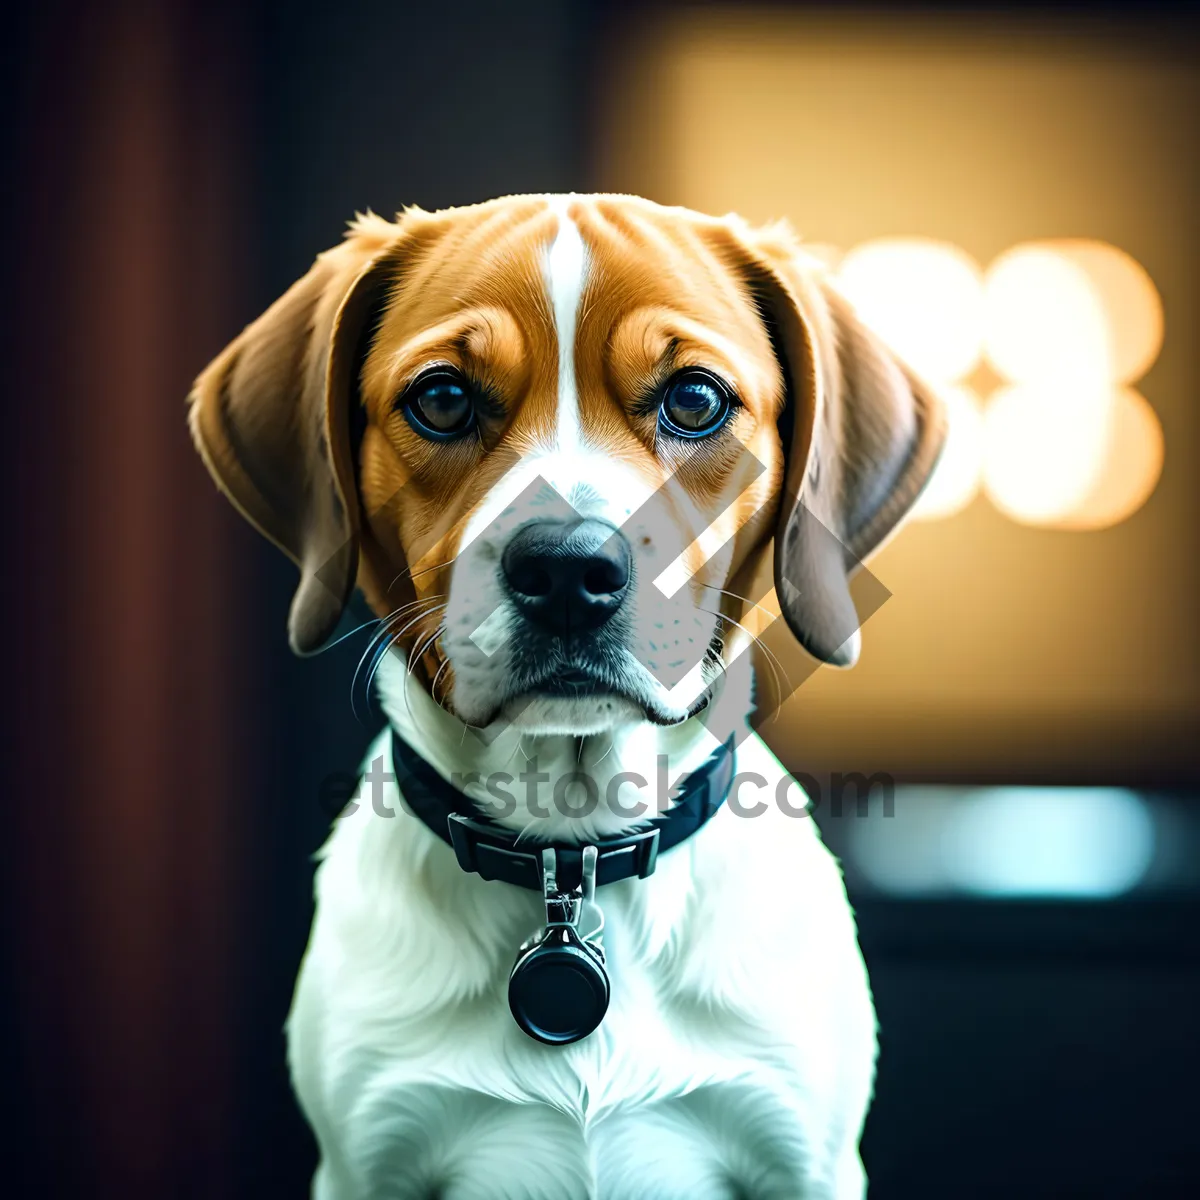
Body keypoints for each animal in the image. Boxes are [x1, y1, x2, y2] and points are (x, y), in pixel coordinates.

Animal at [189, 192, 945, 1195]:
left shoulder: (804, 1161)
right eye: (442, 399)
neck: (570, 849)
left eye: (694, 399)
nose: (568, 571)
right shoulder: (369, 1162)